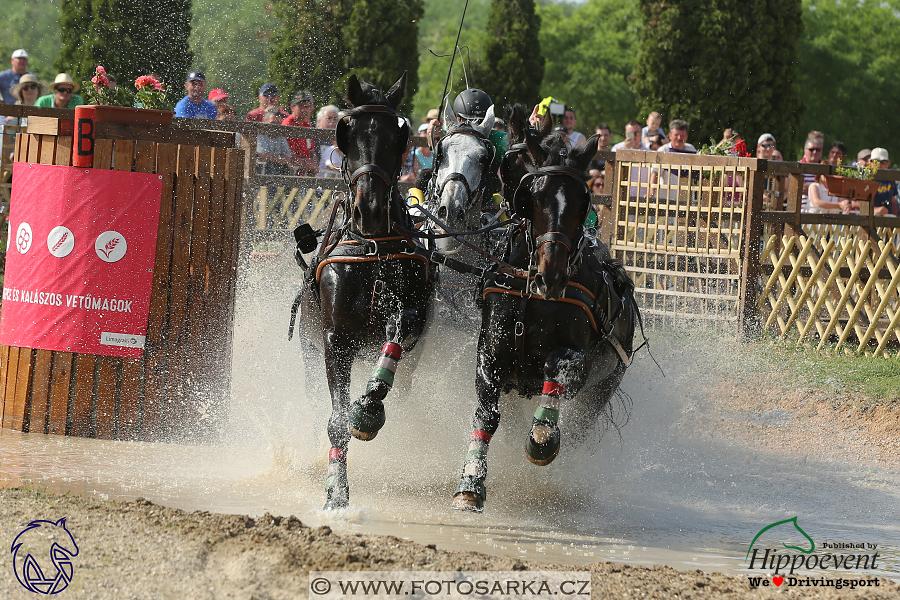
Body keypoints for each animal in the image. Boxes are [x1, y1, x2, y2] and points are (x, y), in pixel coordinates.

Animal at [298, 72, 434, 508]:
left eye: (397, 136)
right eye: (348, 132)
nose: (371, 207)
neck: (371, 245)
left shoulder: (409, 316)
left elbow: (397, 333)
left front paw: (370, 407)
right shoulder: (335, 338)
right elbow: (337, 421)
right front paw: (336, 493)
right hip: (308, 348)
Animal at [450, 108, 640, 510]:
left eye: (582, 202)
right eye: (533, 197)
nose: (551, 274)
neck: (531, 291)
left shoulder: (580, 366)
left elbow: (557, 368)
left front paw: (542, 438)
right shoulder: (490, 354)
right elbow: (487, 415)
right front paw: (471, 482)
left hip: (605, 385)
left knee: (577, 427)